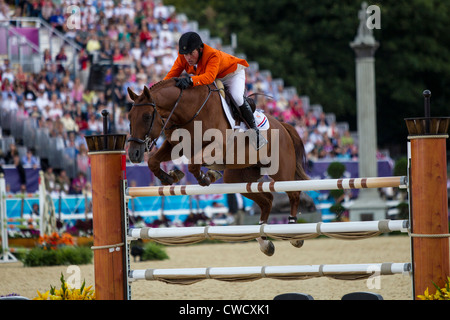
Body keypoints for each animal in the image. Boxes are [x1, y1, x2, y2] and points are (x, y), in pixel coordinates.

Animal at [126, 79, 310, 256]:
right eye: (129, 117)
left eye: (147, 116)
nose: (134, 154)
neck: (188, 110)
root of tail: (283, 125)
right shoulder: (175, 146)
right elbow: (153, 162)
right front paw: (171, 176)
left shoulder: (217, 147)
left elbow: (193, 164)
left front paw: (207, 177)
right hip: (238, 178)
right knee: (267, 200)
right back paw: (264, 242)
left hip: (281, 172)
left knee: (294, 194)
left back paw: (294, 234)